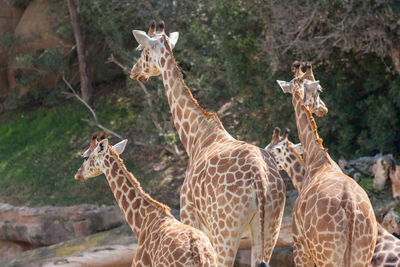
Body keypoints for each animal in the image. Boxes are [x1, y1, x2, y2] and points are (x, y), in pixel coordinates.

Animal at [130, 21, 286, 267]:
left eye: (141, 50)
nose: (134, 71)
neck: (195, 136)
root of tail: (260, 181)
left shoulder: (189, 215)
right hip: (270, 228)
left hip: (226, 232)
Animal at [276, 61, 378, 266]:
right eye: (319, 90)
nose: (324, 108)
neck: (317, 159)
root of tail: (350, 211)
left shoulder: (300, 247)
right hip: (362, 255)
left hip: (327, 256)